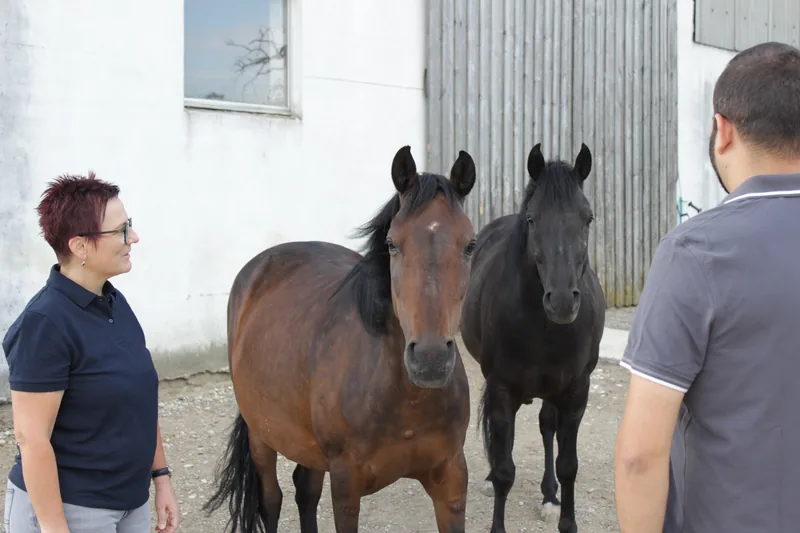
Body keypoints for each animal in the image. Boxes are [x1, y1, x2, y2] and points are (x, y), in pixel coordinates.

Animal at [203, 145, 479, 533]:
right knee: (271, 502)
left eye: (470, 245)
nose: (430, 359)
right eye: (392, 244)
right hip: (262, 435)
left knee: (305, 491)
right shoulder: (347, 486)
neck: (402, 396)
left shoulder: (451, 479)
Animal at [458, 142, 606, 533]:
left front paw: (564, 517)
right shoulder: (501, 389)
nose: (563, 301)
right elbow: (505, 471)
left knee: (546, 427)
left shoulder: (574, 392)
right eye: (532, 219)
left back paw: (549, 496)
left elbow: (568, 465)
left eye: (587, 218)